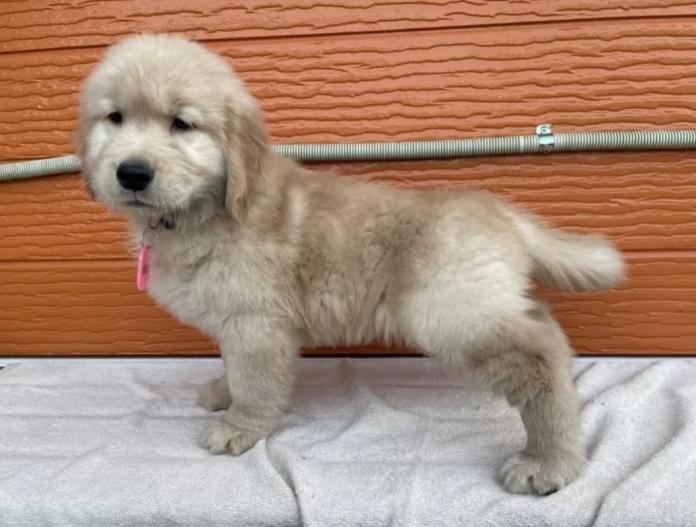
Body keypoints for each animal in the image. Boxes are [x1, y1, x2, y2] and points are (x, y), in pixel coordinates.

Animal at [78, 34, 624, 495]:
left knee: (540, 356)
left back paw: (548, 461)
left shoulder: (256, 322)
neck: (204, 210)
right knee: (544, 326)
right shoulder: (238, 321)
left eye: (181, 124)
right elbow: (233, 366)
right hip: (481, 301)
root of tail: (498, 210)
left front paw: (240, 427)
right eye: (115, 118)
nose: (132, 173)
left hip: (450, 311)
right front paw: (224, 392)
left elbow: (254, 380)